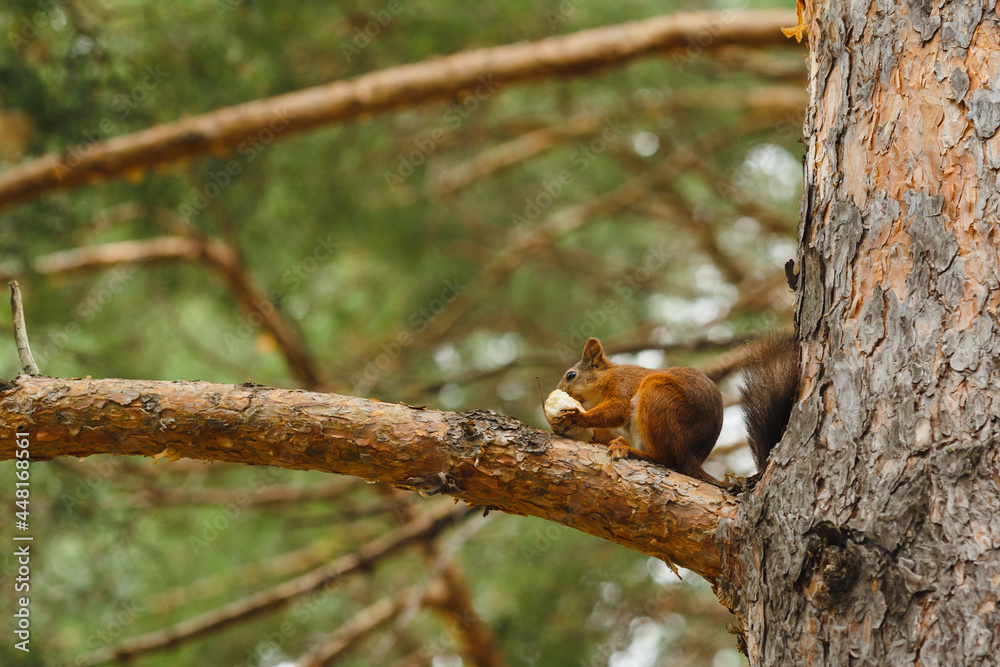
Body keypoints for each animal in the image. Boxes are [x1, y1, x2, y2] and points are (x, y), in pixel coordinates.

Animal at [552, 340, 800, 486]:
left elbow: (618, 409)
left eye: (571, 375)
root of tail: (692, 458)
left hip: (657, 397)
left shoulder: (621, 384)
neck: (604, 378)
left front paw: (578, 417)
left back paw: (628, 450)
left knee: (669, 459)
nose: (560, 390)